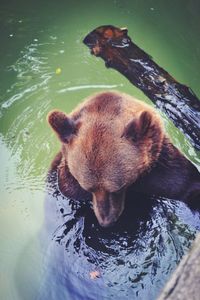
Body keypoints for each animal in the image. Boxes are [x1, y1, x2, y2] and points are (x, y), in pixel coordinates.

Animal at [47, 91, 200, 227]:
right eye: (88, 188)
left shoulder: (164, 173)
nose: (106, 221)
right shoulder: (66, 185)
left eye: (117, 189)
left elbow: (187, 186)